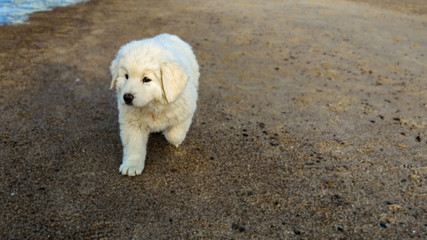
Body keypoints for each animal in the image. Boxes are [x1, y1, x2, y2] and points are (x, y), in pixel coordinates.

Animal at [108, 33, 199, 176]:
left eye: (146, 79)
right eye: (126, 76)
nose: (127, 97)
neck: (152, 106)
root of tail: (168, 34)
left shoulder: (186, 111)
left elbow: (174, 135)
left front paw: (171, 136)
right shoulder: (132, 123)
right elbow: (134, 144)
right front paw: (131, 166)